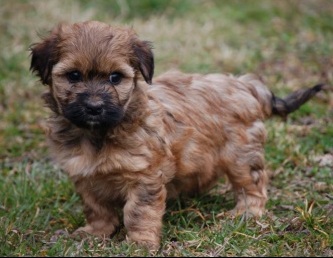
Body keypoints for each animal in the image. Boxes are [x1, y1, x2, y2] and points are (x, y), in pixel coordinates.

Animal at [30, 20, 322, 248]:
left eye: (115, 78)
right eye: (73, 76)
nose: (94, 106)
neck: (99, 134)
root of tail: (246, 85)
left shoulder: (144, 177)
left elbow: (138, 211)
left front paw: (140, 243)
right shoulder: (85, 175)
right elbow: (96, 208)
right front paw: (95, 233)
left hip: (240, 156)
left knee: (253, 185)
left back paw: (245, 213)